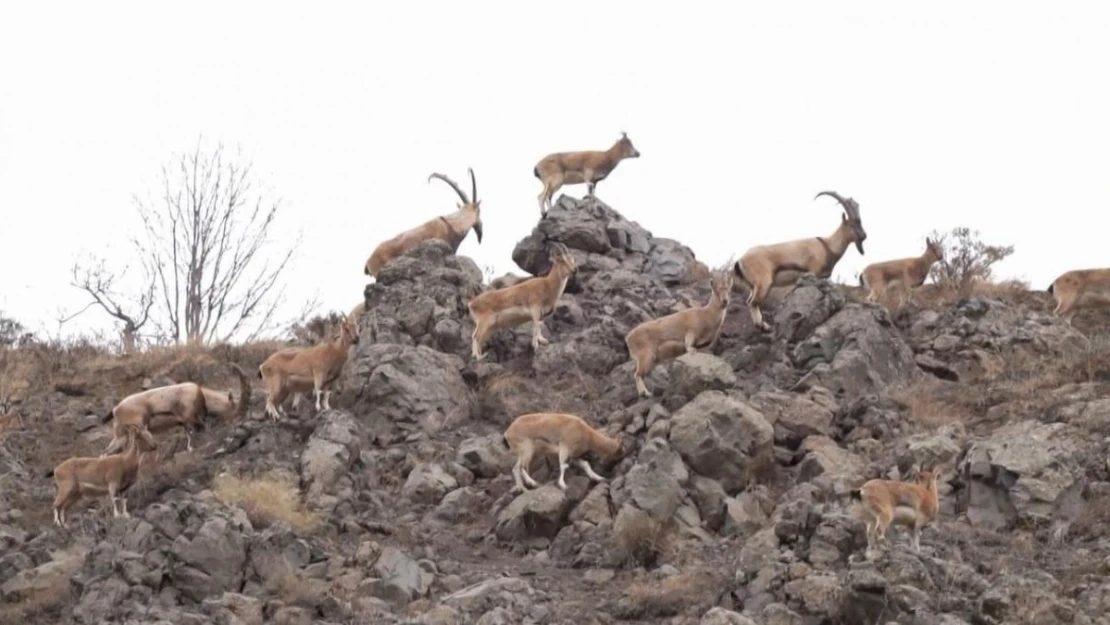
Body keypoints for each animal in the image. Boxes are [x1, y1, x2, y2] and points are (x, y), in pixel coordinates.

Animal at [101, 361, 250, 455]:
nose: (239, 422)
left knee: (106, 452)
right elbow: (191, 434)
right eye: (235, 409)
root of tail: (116, 409)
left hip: (121, 436)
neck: (199, 394)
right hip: (138, 425)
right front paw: (190, 449)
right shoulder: (189, 419)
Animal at [732, 192, 870, 333]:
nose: (864, 236)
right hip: (764, 283)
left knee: (750, 301)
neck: (827, 245)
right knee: (752, 302)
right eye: (852, 224)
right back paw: (764, 327)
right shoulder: (814, 271)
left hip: (753, 286)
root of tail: (740, 261)